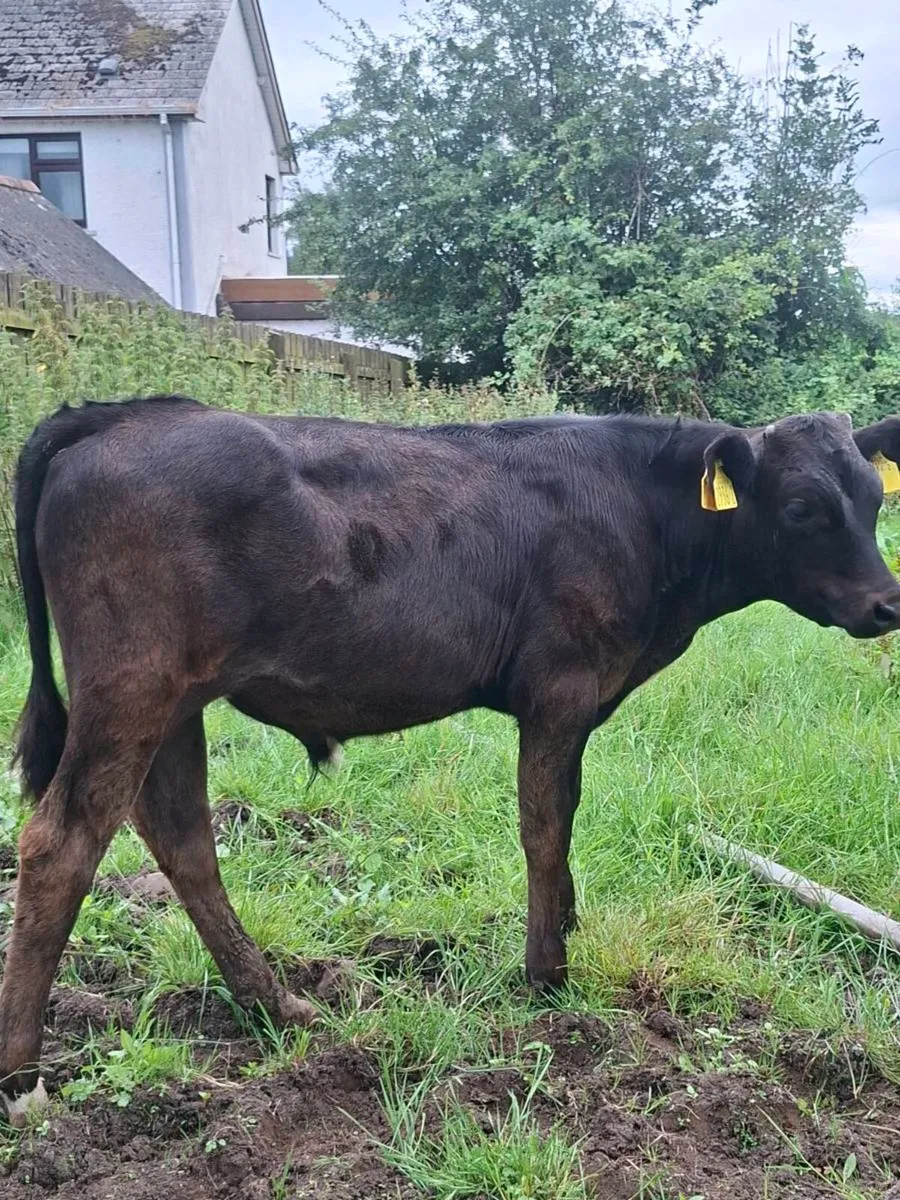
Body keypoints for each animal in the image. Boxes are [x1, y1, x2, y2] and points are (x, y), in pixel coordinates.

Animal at [2, 396, 900, 1122]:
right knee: (60, 844)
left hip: (177, 699)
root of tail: (121, 414)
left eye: (874, 497)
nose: (888, 604)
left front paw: (563, 931)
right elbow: (545, 825)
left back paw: (276, 1006)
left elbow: (563, 820)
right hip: (133, 686)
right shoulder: (560, 688)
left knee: (181, 835)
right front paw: (547, 974)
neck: (642, 509)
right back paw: (23, 1078)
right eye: (802, 506)